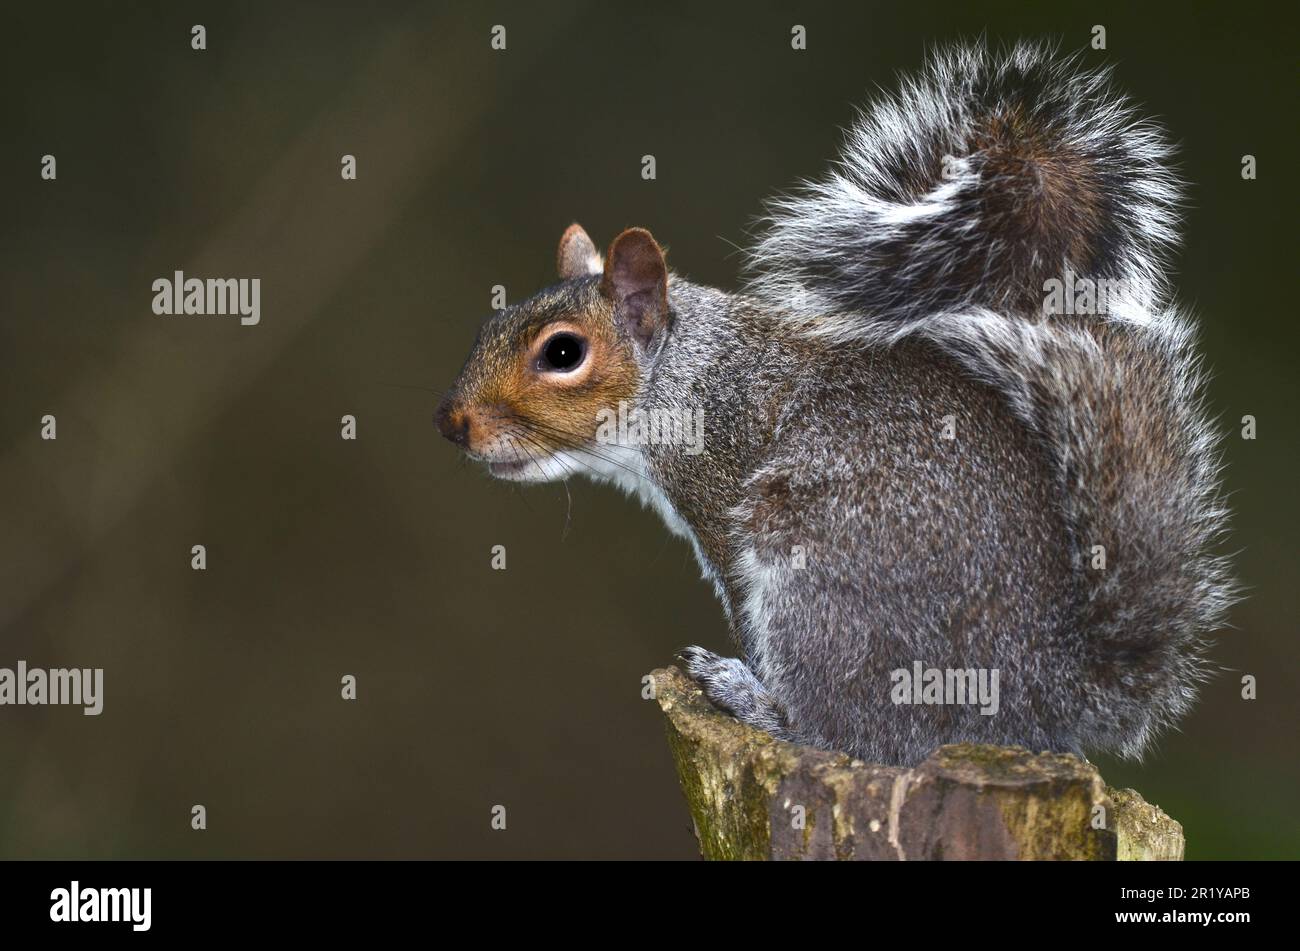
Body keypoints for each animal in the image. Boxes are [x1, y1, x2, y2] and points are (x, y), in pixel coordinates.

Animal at [431, 40, 1232, 763]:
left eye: (563, 354)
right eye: (486, 326)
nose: (452, 423)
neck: (688, 375)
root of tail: (1048, 698)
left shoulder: (722, 502)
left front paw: (745, 672)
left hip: (823, 578)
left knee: (850, 734)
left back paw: (756, 701)